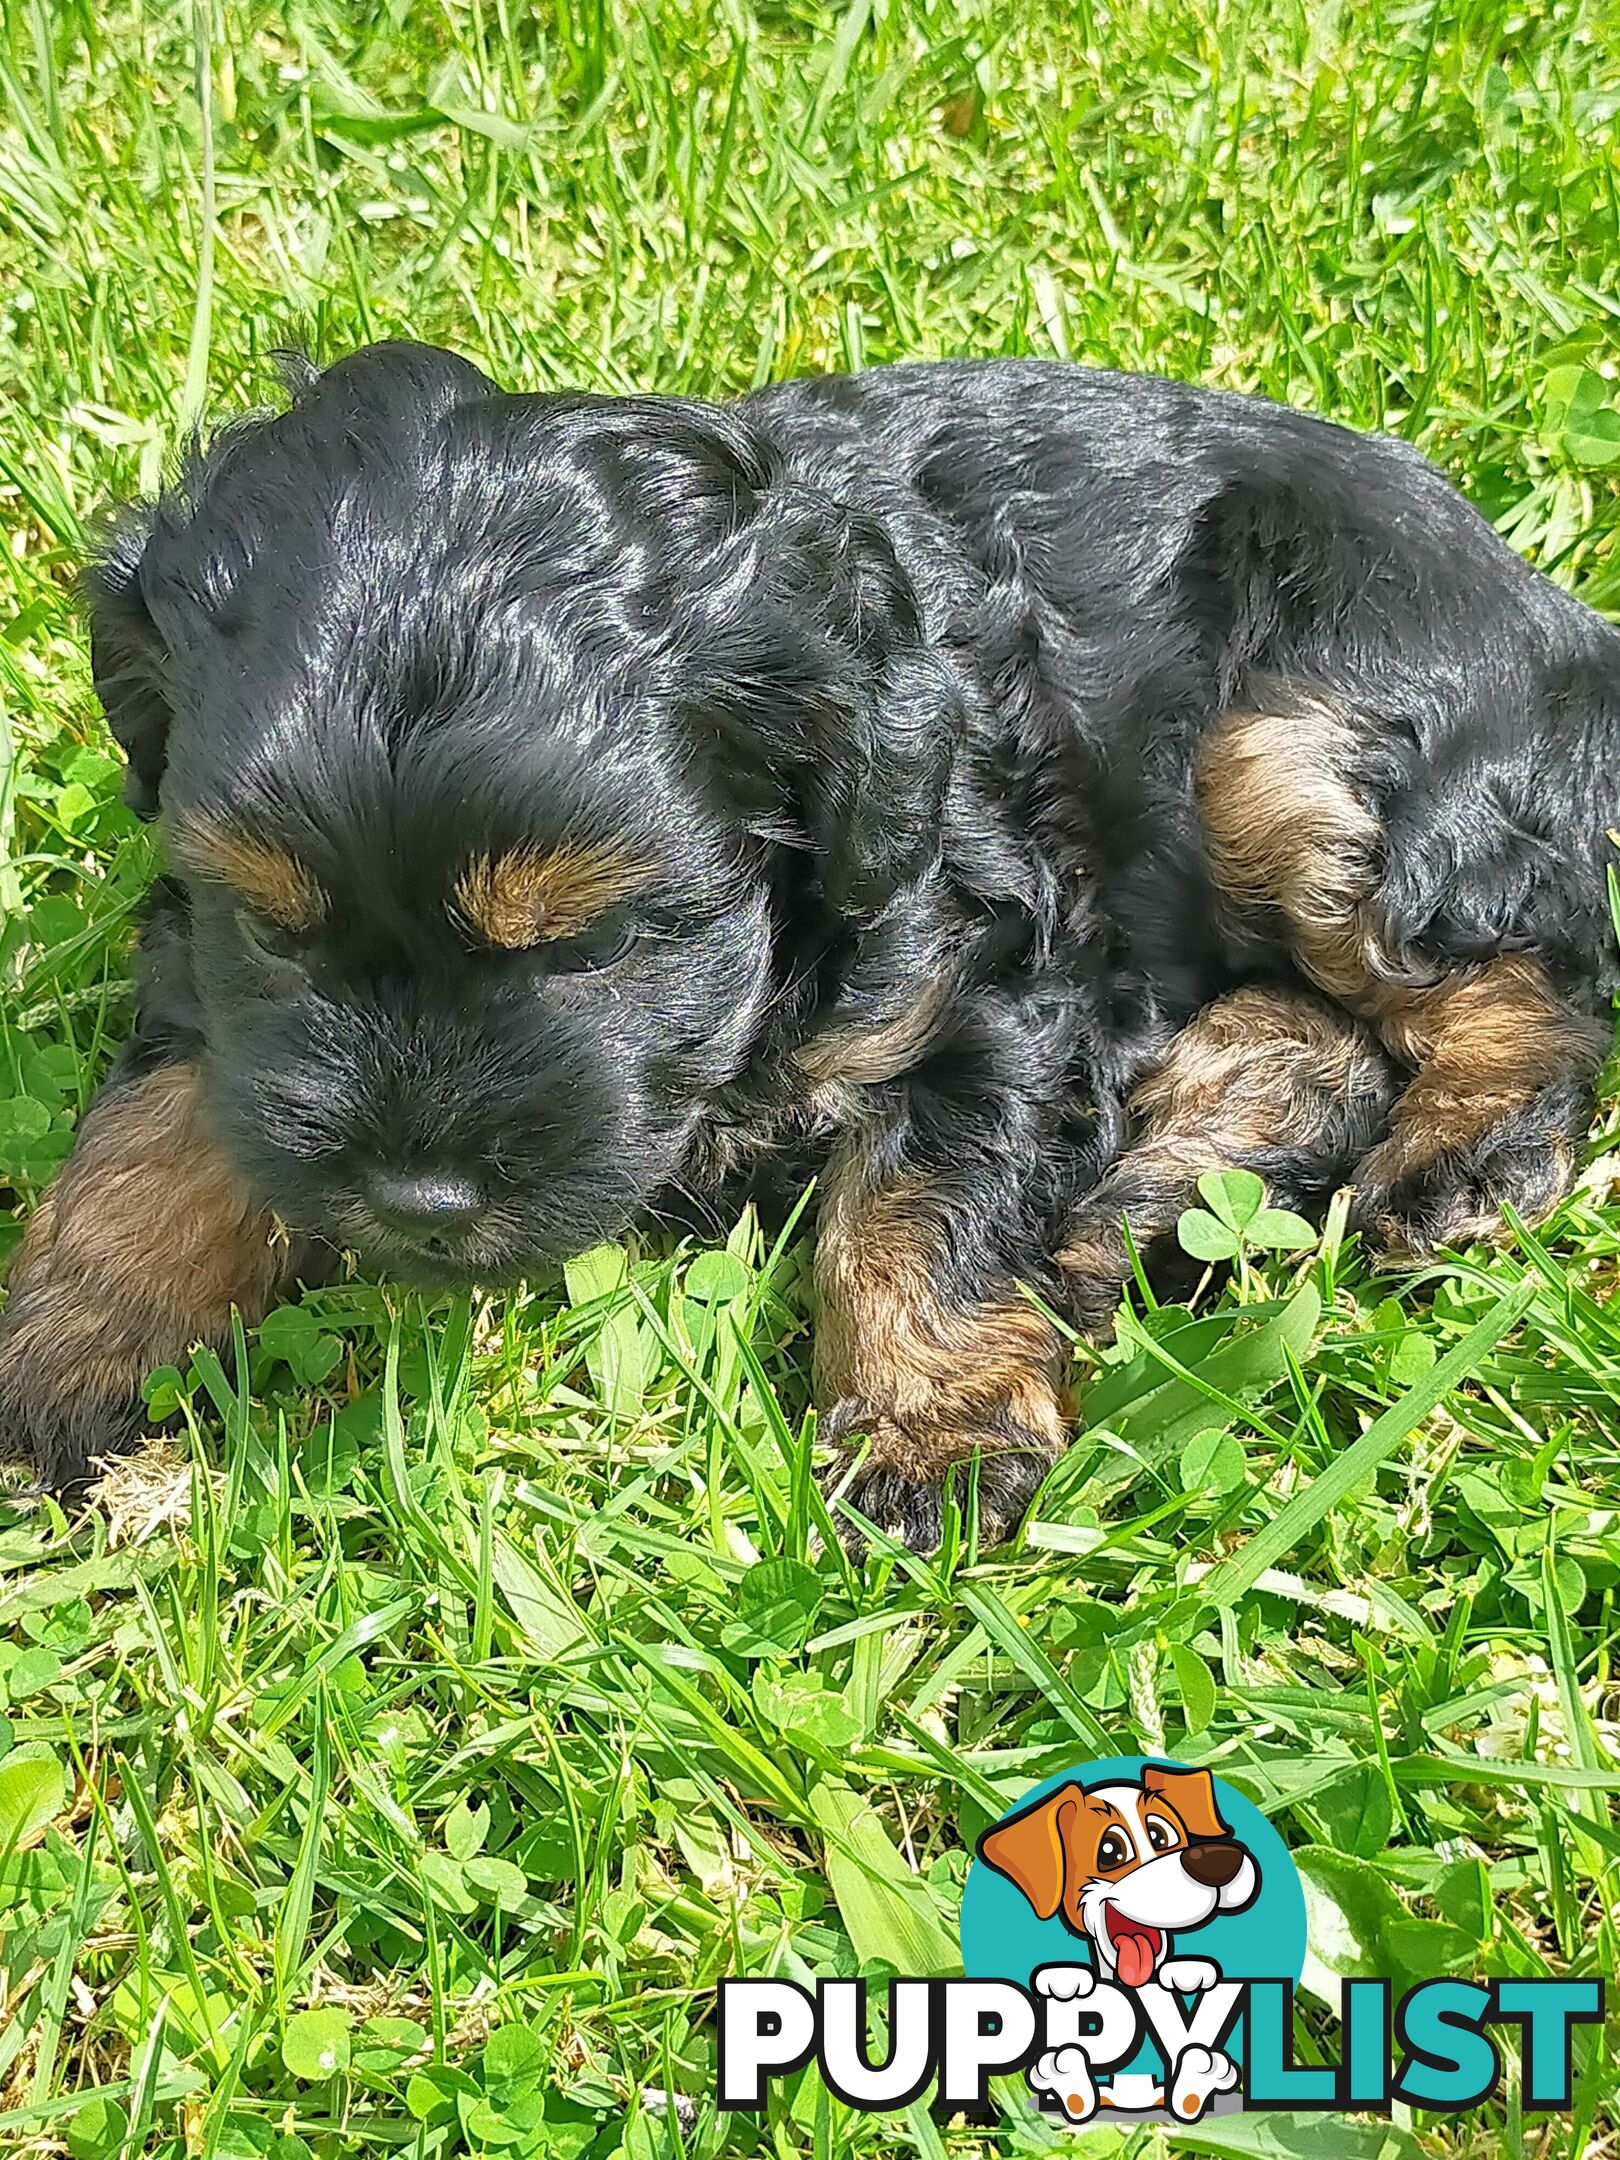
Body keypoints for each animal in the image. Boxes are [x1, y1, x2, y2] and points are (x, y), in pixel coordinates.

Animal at [3, 345, 1620, 1546]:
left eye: (597, 942)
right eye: (272, 928)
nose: (415, 1203)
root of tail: (1564, 625)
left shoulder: (988, 959)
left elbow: (927, 1195)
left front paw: (929, 1428)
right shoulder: (198, 962)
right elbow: (152, 1131)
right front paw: (67, 1354)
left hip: (1300, 740)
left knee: (1506, 972)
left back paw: (1460, 1156)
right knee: (1322, 1036)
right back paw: (1147, 1202)